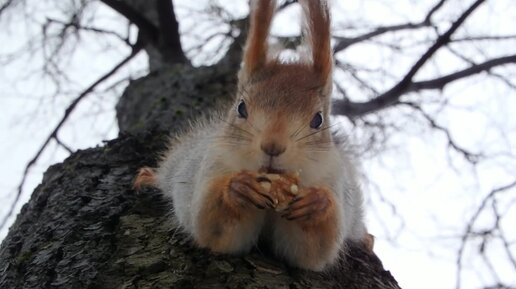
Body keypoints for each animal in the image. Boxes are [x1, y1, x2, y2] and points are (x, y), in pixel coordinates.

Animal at [135, 0, 372, 270]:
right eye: (241, 107)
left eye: (318, 119)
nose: (272, 146)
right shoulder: (213, 164)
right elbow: (210, 226)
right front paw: (239, 188)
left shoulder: (333, 179)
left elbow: (312, 251)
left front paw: (316, 203)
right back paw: (149, 177)